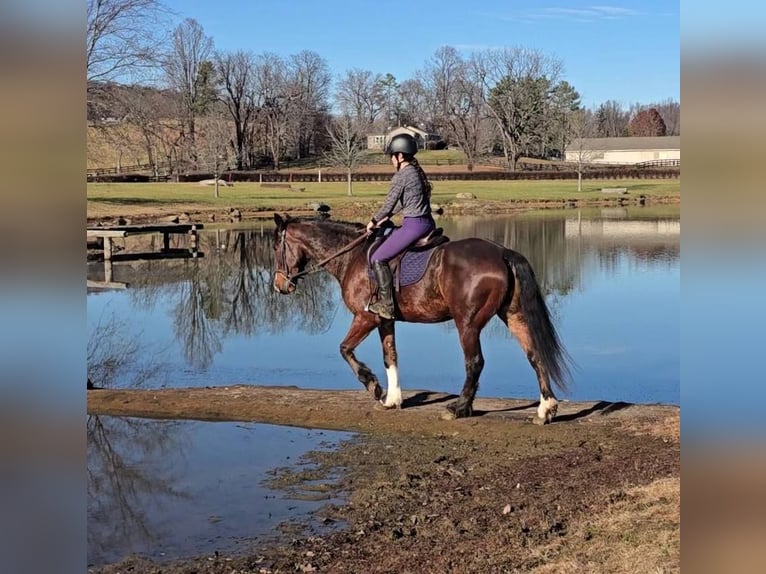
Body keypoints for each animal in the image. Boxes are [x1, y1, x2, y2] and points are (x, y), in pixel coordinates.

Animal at [272, 213, 573, 424]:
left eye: (276, 248)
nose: (279, 286)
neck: (352, 256)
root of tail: (502, 252)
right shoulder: (385, 320)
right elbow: (390, 356)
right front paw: (392, 399)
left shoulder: (365, 318)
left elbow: (345, 349)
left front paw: (373, 386)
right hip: (513, 315)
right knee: (534, 355)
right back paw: (546, 409)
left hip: (467, 324)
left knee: (475, 362)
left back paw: (459, 408)